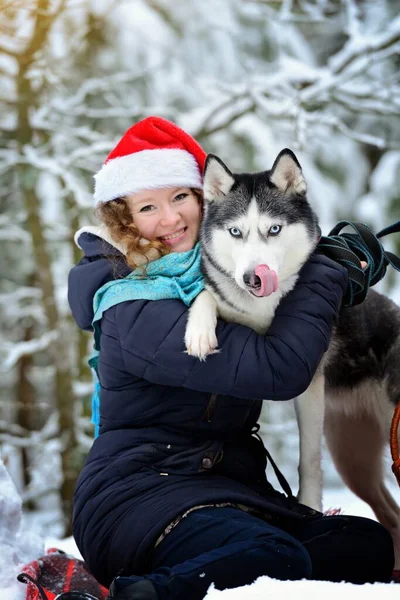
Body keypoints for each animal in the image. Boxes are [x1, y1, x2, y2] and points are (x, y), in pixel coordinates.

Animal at [186, 150, 400, 568]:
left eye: (274, 229)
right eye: (235, 232)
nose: (253, 277)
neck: (267, 308)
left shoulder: (308, 386)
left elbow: (308, 459)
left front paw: (310, 507)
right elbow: (208, 294)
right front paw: (199, 331)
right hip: (354, 461)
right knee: (393, 516)